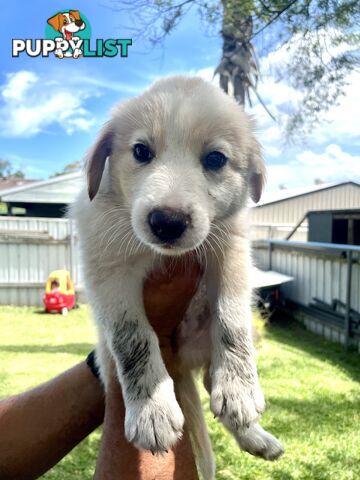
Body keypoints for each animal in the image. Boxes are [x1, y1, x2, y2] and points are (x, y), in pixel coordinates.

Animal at [71, 77, 282, 478]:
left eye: (215, 159)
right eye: (141, 151)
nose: (167, 222)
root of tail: (184, 362)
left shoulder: (231, 252)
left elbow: (232, 321)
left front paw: (241, 389)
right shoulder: (107, 269)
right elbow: (134, 338)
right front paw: (151, 409)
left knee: (213, 379)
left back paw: (256, 436)